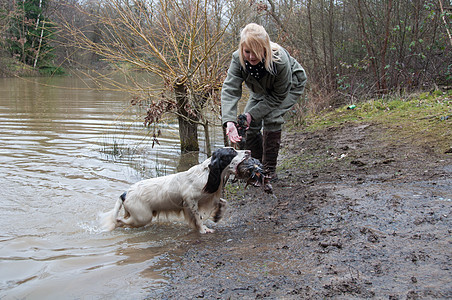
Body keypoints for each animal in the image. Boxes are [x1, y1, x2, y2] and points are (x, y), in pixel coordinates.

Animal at [100, 148, 251, 234]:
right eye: (232, 152)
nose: (249, 152)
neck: (206, 174)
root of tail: (125, 193)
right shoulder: (190, 200)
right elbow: (198, 218)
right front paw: (203, 230)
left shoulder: (208, 197)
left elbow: (223, 202)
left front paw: (218, 215)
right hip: (143, 217)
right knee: (119, 220)